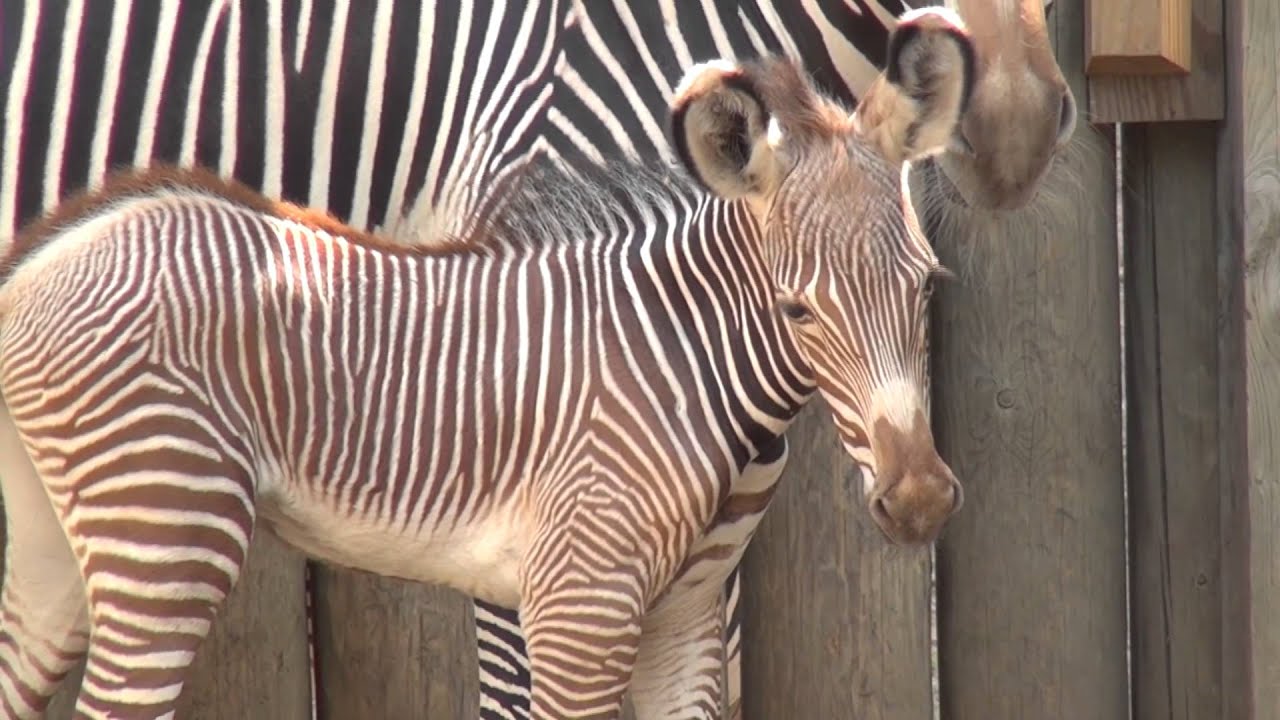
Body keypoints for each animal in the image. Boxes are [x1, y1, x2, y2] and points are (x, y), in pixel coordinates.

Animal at [0, 2, 1075, 712]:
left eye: (925, 288)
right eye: (798, 311)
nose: (921, 503)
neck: (671, 353)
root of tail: (46, 258)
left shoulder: (684, 618)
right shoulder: (572, 607)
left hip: (59, 548)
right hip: (166, 529)